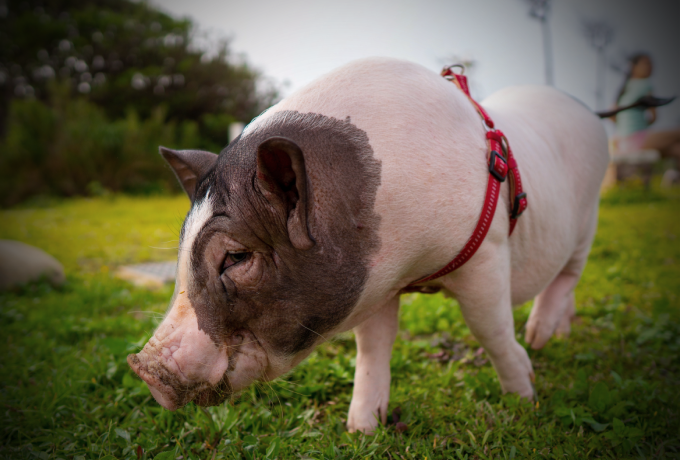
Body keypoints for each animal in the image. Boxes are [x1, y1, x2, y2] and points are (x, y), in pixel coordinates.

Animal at [129, 55, 612, 434]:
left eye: (236, 257)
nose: (145, 369)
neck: (411, 265)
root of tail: (589, 113)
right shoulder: (376, 281)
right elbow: (373, 346)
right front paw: (361, 429)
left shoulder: (487, 253)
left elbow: (489, 329)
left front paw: (524, 399)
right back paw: (556, 337)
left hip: (589, 215)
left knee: (570, 272)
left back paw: (539, 337)